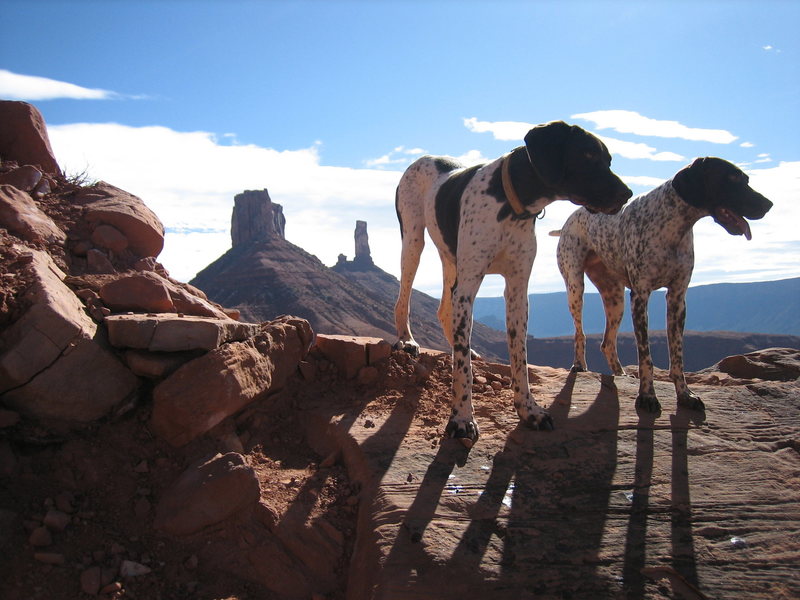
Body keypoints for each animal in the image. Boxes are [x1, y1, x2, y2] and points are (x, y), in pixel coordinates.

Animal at [394, 120, 632, 446]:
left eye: (608, 159)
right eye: (587, 155)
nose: (627, 193)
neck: (510, 201)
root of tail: (424, 157)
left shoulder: (518, 288)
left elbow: (519, 355)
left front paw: (529, 410)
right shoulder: (469, 285)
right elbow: (463, 369)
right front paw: (462, 419)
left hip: (450, 258)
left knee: (444, 311)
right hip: (413, 243)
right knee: (403, 298)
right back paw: (407, 340)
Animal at [556, 156, 776, 412]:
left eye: (746, 179)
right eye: (731, 179)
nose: (768, 204)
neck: (673, 226)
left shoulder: (677, 297)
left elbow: (677, 356)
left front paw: (685, 394)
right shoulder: (640, 296)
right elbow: (646, 357)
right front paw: (647, 396)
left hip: (615, 297)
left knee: (607, 342)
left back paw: (621, 375)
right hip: (576, 287)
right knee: (579, 332)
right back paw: (579, 365)